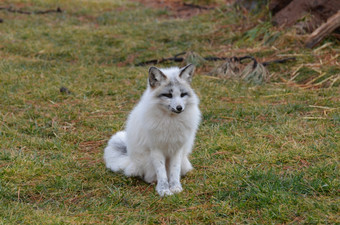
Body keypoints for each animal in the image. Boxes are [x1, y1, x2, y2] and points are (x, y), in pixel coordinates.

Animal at [103, 63, 199, 195]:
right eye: (168, 95)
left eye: (183, 94)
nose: (179, 108)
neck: (170, 122)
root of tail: (130, 161)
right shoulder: (155, 149)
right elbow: (161, 173)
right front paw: (164, 190)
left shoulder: (177, 149)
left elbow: (174, 171)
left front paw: (175, 187)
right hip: (146, 161)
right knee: (148, 176)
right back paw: (153, 181)